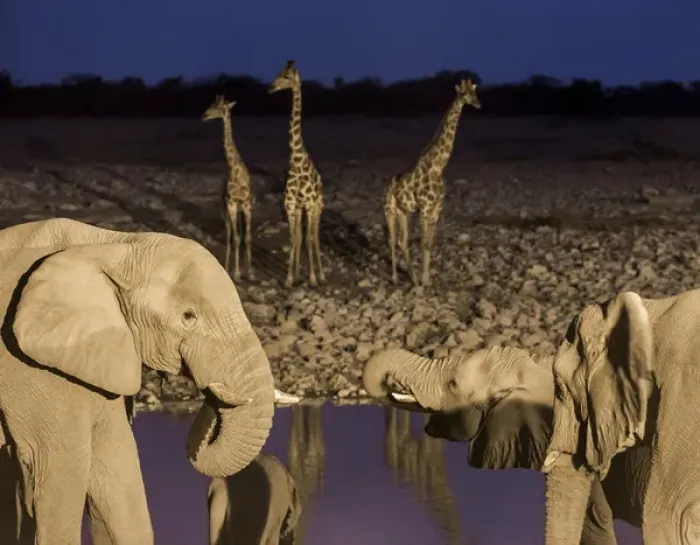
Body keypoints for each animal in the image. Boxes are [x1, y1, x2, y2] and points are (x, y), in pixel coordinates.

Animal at [201, 94, 255, 281]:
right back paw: (226, 267)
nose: (204, 115)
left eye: (218, 106)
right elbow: (236, 238)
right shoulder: (231, 205)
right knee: (230, 236)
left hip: (238, 210)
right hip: (226, 210)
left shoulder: (246, 205)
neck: (234, 170)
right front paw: (237, 273)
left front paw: (250, 272)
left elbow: (247, 237)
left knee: (237, 234)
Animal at [268, 60, 325, 288]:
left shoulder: (309, 204)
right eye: (278, 73)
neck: (297, 160)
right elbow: (294, 238)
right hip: (302, 209)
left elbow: (309, 239)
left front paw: (312, 278)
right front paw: (290, 278)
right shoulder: (291, 204)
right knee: (302, 235)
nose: (270, 88)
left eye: (286, 76)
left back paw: (321, 275)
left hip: (317, 208)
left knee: (315, 236)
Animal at [385, 78, 481, 286]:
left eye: (475, 91)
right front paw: (423, 282)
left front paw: (426, 280)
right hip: (389, 210)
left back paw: (412, 278)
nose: (478, 104)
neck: (438, 166)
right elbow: (423, 243)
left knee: (402, 240)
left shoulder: (437, 208)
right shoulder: (426, 208)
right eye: (464, 93)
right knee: (392, 239)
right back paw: (396, 277)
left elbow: (429, 243)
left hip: (404, 212)